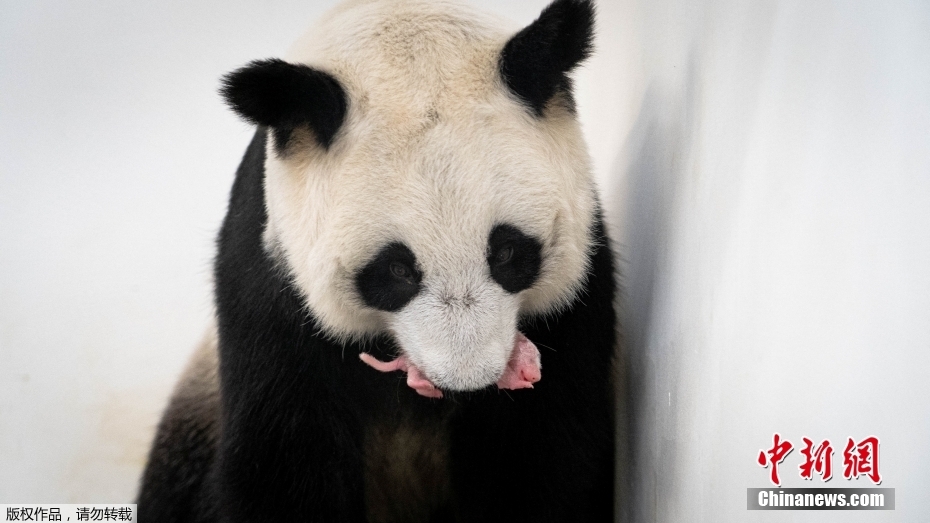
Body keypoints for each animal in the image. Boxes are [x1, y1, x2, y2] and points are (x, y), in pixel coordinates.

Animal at [138, 0, 616, 520]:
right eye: (397, 269)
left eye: (507, 251)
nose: (465, 380)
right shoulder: (270, 287)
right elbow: (284, 456)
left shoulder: (575, 294)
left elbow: (544, 451)